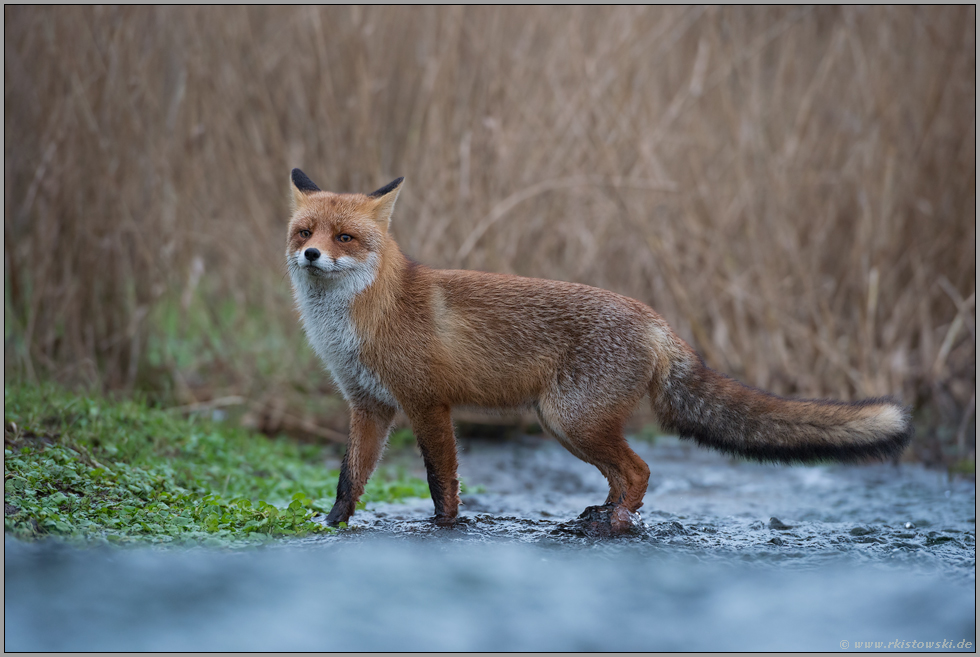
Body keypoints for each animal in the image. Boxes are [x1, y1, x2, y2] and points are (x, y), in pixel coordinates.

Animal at [288, 169, 916, 532]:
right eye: (304, 232)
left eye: (344, 238)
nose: (311, 256)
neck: (360, 319)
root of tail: (656, 319)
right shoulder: (368, 405)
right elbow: (349, 477)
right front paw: (331, 525)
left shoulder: (427, 404)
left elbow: (442, 482)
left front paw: (444, 529)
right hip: (564, 422)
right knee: (624, 474)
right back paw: (600, 516)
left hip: (571, 418)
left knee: (640, 470)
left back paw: (611, 524)